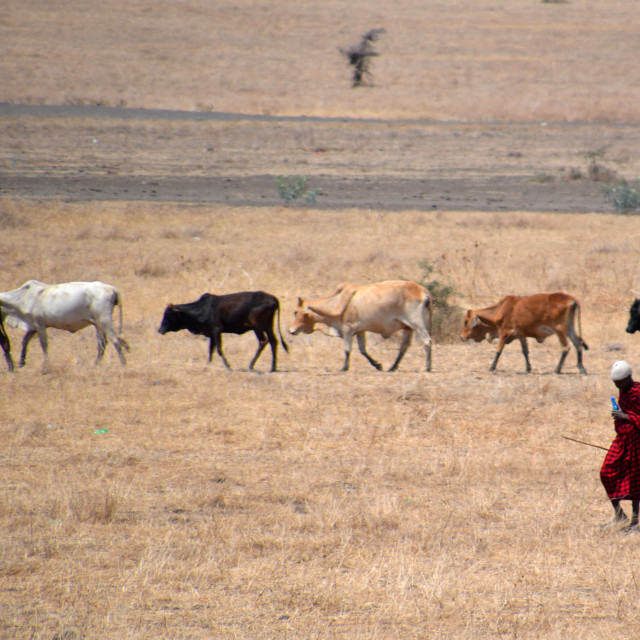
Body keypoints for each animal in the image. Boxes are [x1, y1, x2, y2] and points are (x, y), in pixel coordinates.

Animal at [159, 290, 288, 370]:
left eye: (168, 315)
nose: (160, 330)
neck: (202, 309)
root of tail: (273, 298)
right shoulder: (211, 333)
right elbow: (211, 349)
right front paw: (208, 365)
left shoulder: (217, 330)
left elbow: (219, 349)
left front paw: (228, 366)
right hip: (268, 326)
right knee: (273, 341)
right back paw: (273, 367)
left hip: (257, 327)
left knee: (263, 341)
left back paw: (251, 365)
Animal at [292, 278, 432, 372]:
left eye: (296, 312)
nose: (291, 330)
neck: (337, 302)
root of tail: (422, 289)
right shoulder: (360, 331)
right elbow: (363, 350)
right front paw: (378, 365)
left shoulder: (348, 329)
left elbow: (347, 349)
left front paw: (344, 367)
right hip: (408, 328)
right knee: (403, 348)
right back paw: (393, 367)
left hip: (417, 324)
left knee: (427, 341)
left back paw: (427, 367)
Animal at [460, 292, 592, 376]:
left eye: (466, 321)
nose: (461, 337)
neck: (500, 310)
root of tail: (571, 299)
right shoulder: (521, 335)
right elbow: (525, 351)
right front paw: (528, 368)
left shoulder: (504, 332)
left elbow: (498, 351)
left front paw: (491, 368)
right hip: (570, 329)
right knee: (578, 344)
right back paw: (582, 369)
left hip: (560, 331)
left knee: (566, 347)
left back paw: (556, 370)